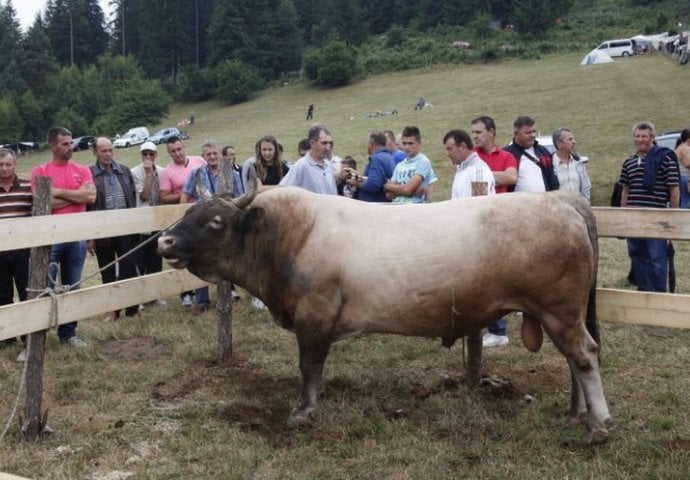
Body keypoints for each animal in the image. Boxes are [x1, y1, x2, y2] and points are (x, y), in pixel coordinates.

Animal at [156, 179, 608, 442]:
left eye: (215, 221)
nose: (164, 241)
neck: (289, 236)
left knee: (584, 355)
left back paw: (598, 423)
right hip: (559, 313)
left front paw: (304, 411)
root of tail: (562, 199)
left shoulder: (313, 314)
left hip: (560, 310)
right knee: (574, 360)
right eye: (188, 212)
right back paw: (576, 415)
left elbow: (309, 365)